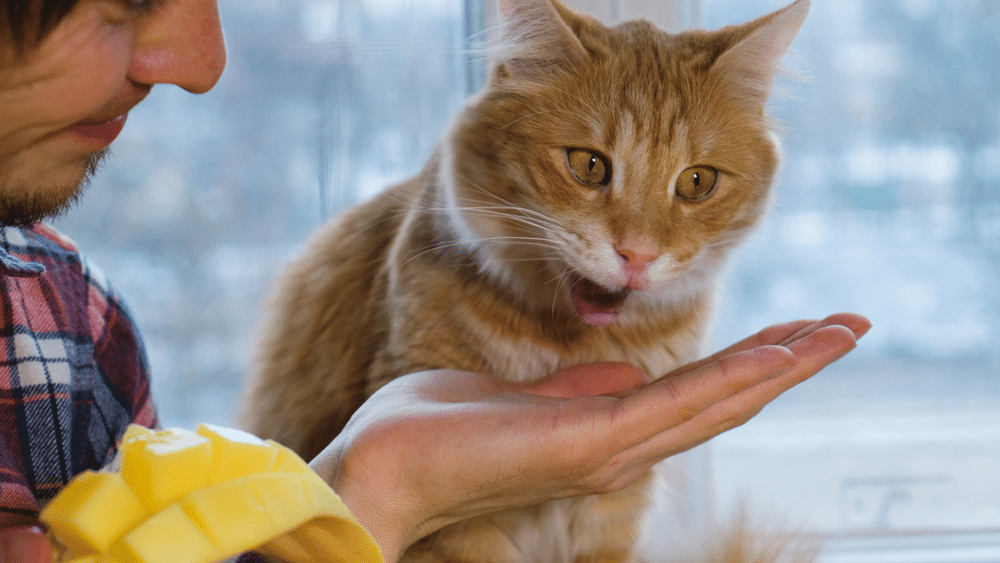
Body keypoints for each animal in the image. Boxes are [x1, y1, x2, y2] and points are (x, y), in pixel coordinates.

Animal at [240, 2, 812, 560]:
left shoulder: (613, 515)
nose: (638, 256)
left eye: (697, 182)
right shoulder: (463, 533)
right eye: (589, 166)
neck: (567, 342)